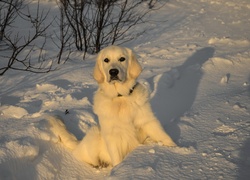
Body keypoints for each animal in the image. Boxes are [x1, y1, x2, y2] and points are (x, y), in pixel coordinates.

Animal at [47, 45, 177, 167]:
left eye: (122, 59)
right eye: (106, 60)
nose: (113, 72)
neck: (120, 97)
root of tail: (79, 143)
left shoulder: (148, 121)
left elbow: (164, 136)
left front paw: (175, 149)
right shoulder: (112, 136)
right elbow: (117, 158)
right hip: (95, 134)